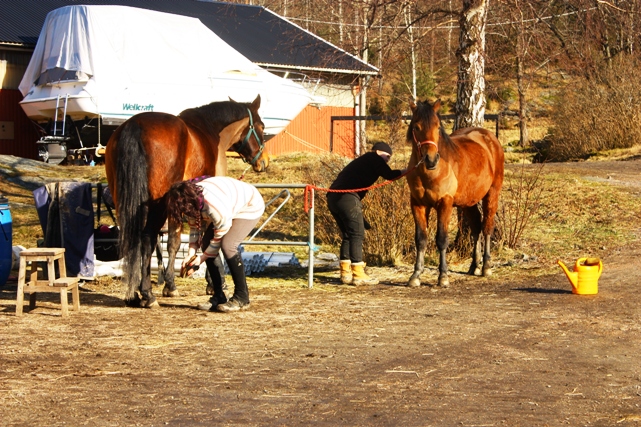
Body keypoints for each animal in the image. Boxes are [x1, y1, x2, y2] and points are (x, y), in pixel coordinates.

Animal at [105, 95, 268, 308]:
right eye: (262, 127)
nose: (263, 162)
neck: (210, 129)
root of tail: (135, 126)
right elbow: (203, 242)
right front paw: (213, 284)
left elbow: (173, 242)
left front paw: (170, 285)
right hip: (157, 206)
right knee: (147, 238)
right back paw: (147, 294)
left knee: (131, 239)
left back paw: (133, 294)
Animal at [405, 99, 504, 288]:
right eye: (416, 127)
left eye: (437, 127)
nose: (431, 159)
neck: (430, 172)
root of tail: (490, 138)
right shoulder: (417, 204)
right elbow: (421, 239)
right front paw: (415, 275)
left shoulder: (445, 203)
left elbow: (442, 239)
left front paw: (443, 276)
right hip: (468, 202)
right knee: (476, 227)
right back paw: (474, 266)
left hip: (492, 194)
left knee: (487, 227)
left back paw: (486, 266)